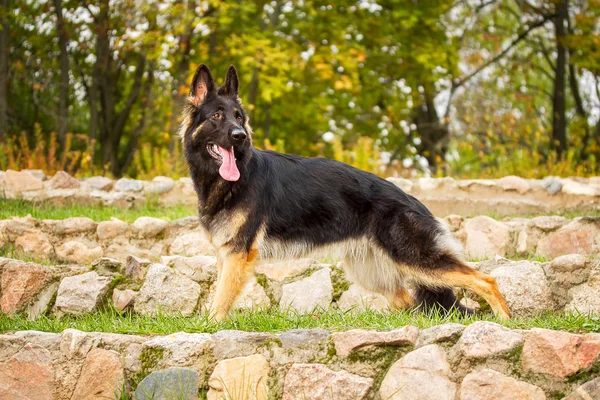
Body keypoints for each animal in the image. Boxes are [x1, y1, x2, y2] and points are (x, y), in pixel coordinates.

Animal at [179, 65, 510, 322]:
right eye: (217, 116)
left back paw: (505, 319)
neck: (231, 180)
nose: (240, 136)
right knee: (407, 301)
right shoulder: (226, 253)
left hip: (413, 257)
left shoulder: (237, 254)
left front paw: (210, 327)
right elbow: (220, 291)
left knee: (485, 279)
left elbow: (221, 297)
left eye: (238, 117)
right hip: (369, 271)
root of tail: (413, 201)